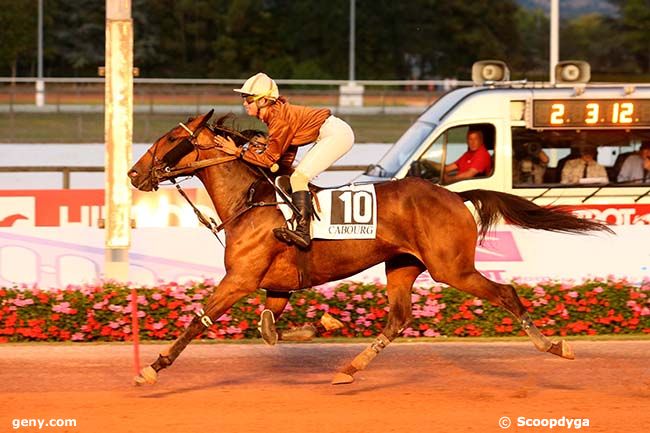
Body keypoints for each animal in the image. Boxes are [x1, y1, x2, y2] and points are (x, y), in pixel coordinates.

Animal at [129, 110, 612, 384]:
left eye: (171, 140)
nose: (134, 174)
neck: (252, 203)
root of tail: (456, 196)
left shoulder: (241, 279)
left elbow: (200, 321)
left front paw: (152, 368)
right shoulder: (277, 285)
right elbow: (269, 329)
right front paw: (321, 325)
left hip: (451, 268)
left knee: (506, 293)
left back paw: (555, 346)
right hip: (401, 265)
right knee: (398, 319)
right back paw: (348, 370)